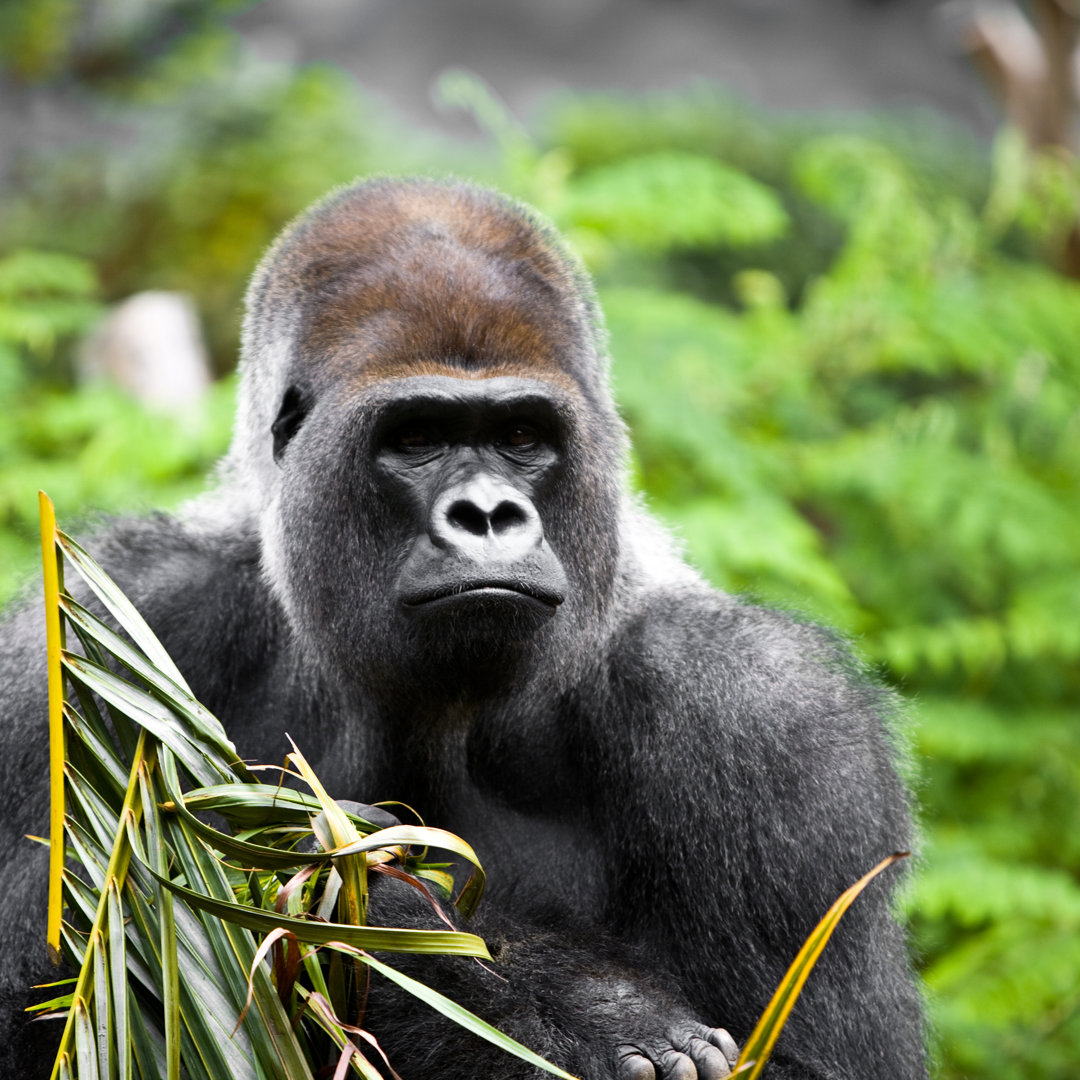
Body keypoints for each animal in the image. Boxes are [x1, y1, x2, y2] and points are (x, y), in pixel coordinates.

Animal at [2, 179, 928, 1080]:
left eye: (521, 436)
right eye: (417, 438)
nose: (487, 514)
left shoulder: (769, 717)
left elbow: (810, 1060)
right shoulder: (80, 636)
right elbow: (41, 994)